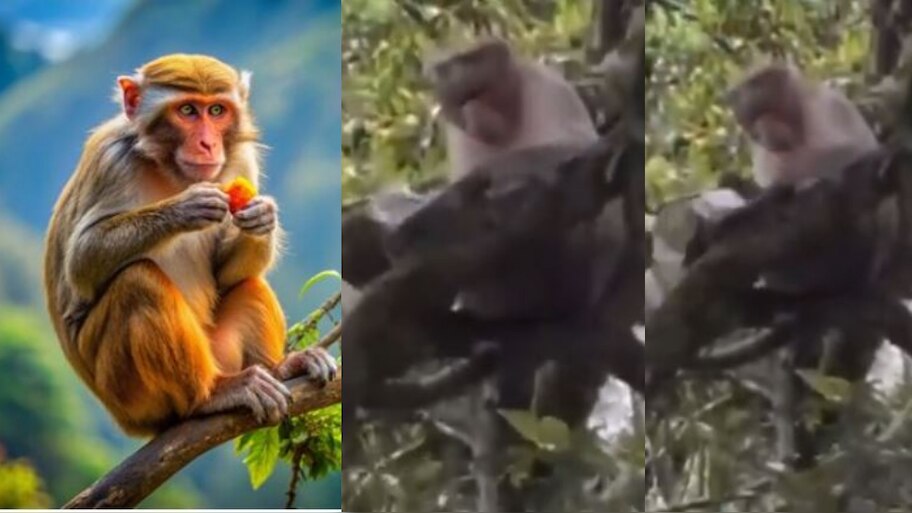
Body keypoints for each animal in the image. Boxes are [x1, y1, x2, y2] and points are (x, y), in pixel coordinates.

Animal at [44, 54, 336, 437]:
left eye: (216, 110)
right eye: (187, 110)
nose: (208, 145)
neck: (170, 169)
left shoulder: (240, 160)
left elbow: (226, 275)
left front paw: (262, 219)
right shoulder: (111, 159)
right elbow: (81, 262)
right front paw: (185, 208)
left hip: (220, 351)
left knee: (249, 284)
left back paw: (282, 369)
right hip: (127, 392)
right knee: (138, 282)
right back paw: (210, 395)